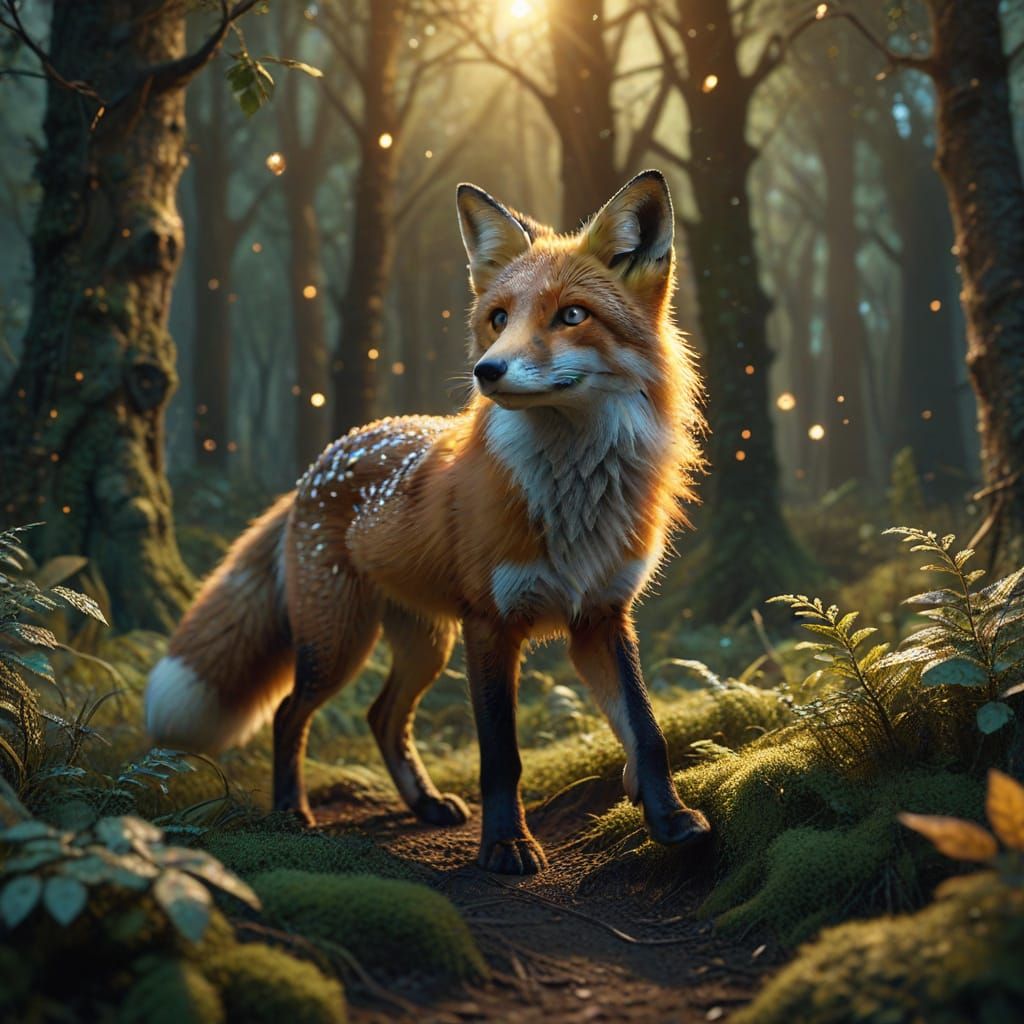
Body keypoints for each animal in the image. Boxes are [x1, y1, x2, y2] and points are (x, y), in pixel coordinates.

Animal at [145, 169, 710, 875]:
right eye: (498, 319)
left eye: (573, 315)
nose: (486, 370)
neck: (572, 499)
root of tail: (323, 460)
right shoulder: (491, 625)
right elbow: (502, 755)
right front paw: (506, 845)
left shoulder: (602, 618)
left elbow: (646, 730)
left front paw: (668, 818)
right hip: (340, 641)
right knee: (289, 714)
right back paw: (290, 812)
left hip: (425, 644)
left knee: (382, 717)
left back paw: (424, 803)